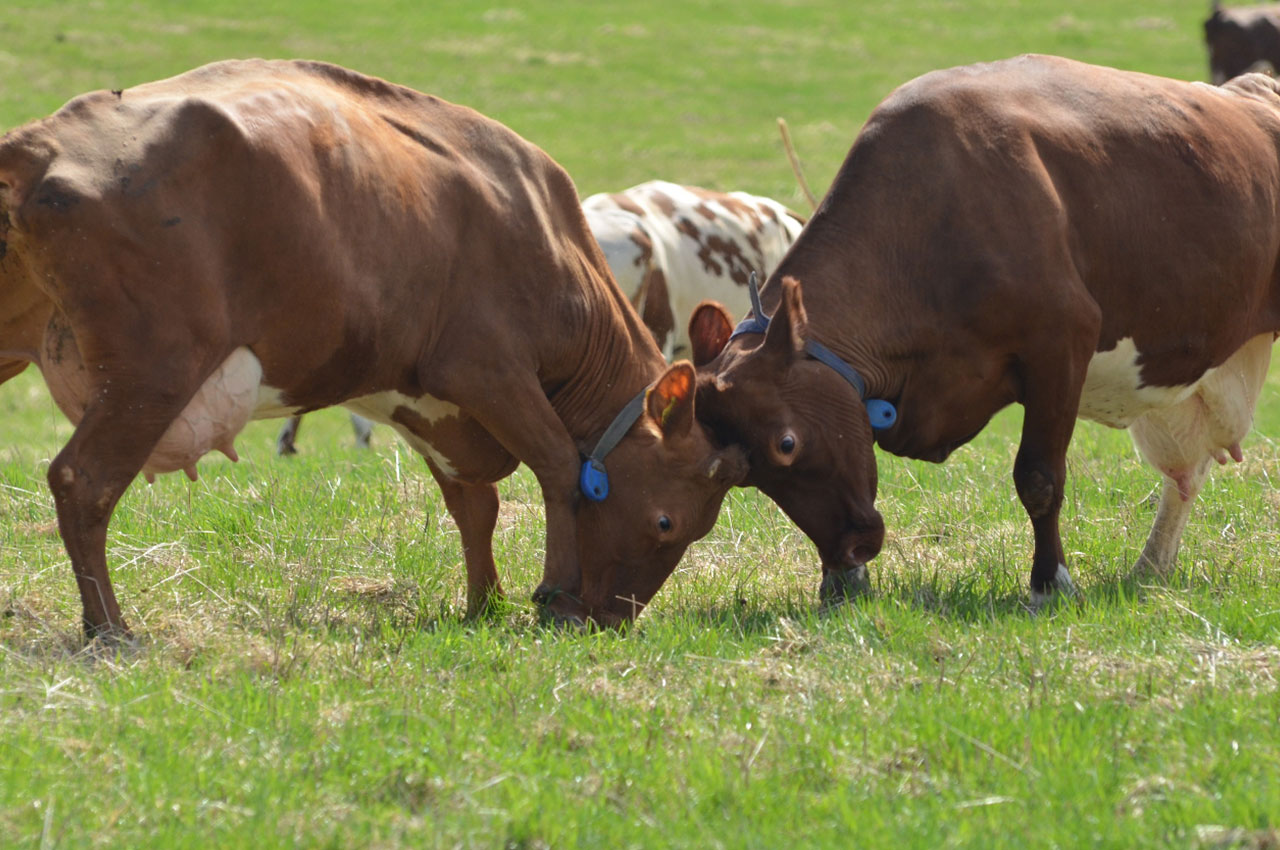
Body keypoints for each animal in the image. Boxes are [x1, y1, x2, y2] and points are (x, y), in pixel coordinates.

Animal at [0, 56, 747, 637]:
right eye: (666, 522)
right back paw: (109, 627)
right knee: (83, 480)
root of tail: (39, 140)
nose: (612, 620)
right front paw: (552, 598)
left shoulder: (427, 399)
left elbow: (474, 503)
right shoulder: (488, 368)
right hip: (154, 368)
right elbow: (562, 468)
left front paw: (484, 605)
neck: (544, 230)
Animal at [686, 54, 1280, 604]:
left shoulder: (1063, 341)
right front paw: (841, 580)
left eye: (786, 443)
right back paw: (1150, 569)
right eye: (747, 473)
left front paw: (1050, 582)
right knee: (1185, 475)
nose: (850, 548)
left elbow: (1039, 478)